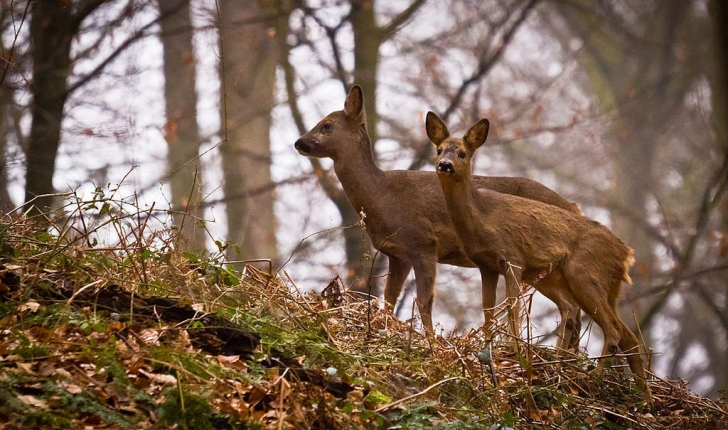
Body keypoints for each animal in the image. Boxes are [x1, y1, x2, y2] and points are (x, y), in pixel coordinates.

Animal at [424, 111, 652, 400]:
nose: (444, 165)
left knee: (611, 330)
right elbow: (488, 311)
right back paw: (645, 399)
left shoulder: (513, 259)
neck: (483, 218)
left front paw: (515, 353)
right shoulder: (486, 266)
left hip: (583, 275)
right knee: (627, 335)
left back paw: (595, 378)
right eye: (439, 149)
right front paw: (489, 353)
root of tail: (626, 254)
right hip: (585, 284)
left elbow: (512, 310)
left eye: (462, 153)